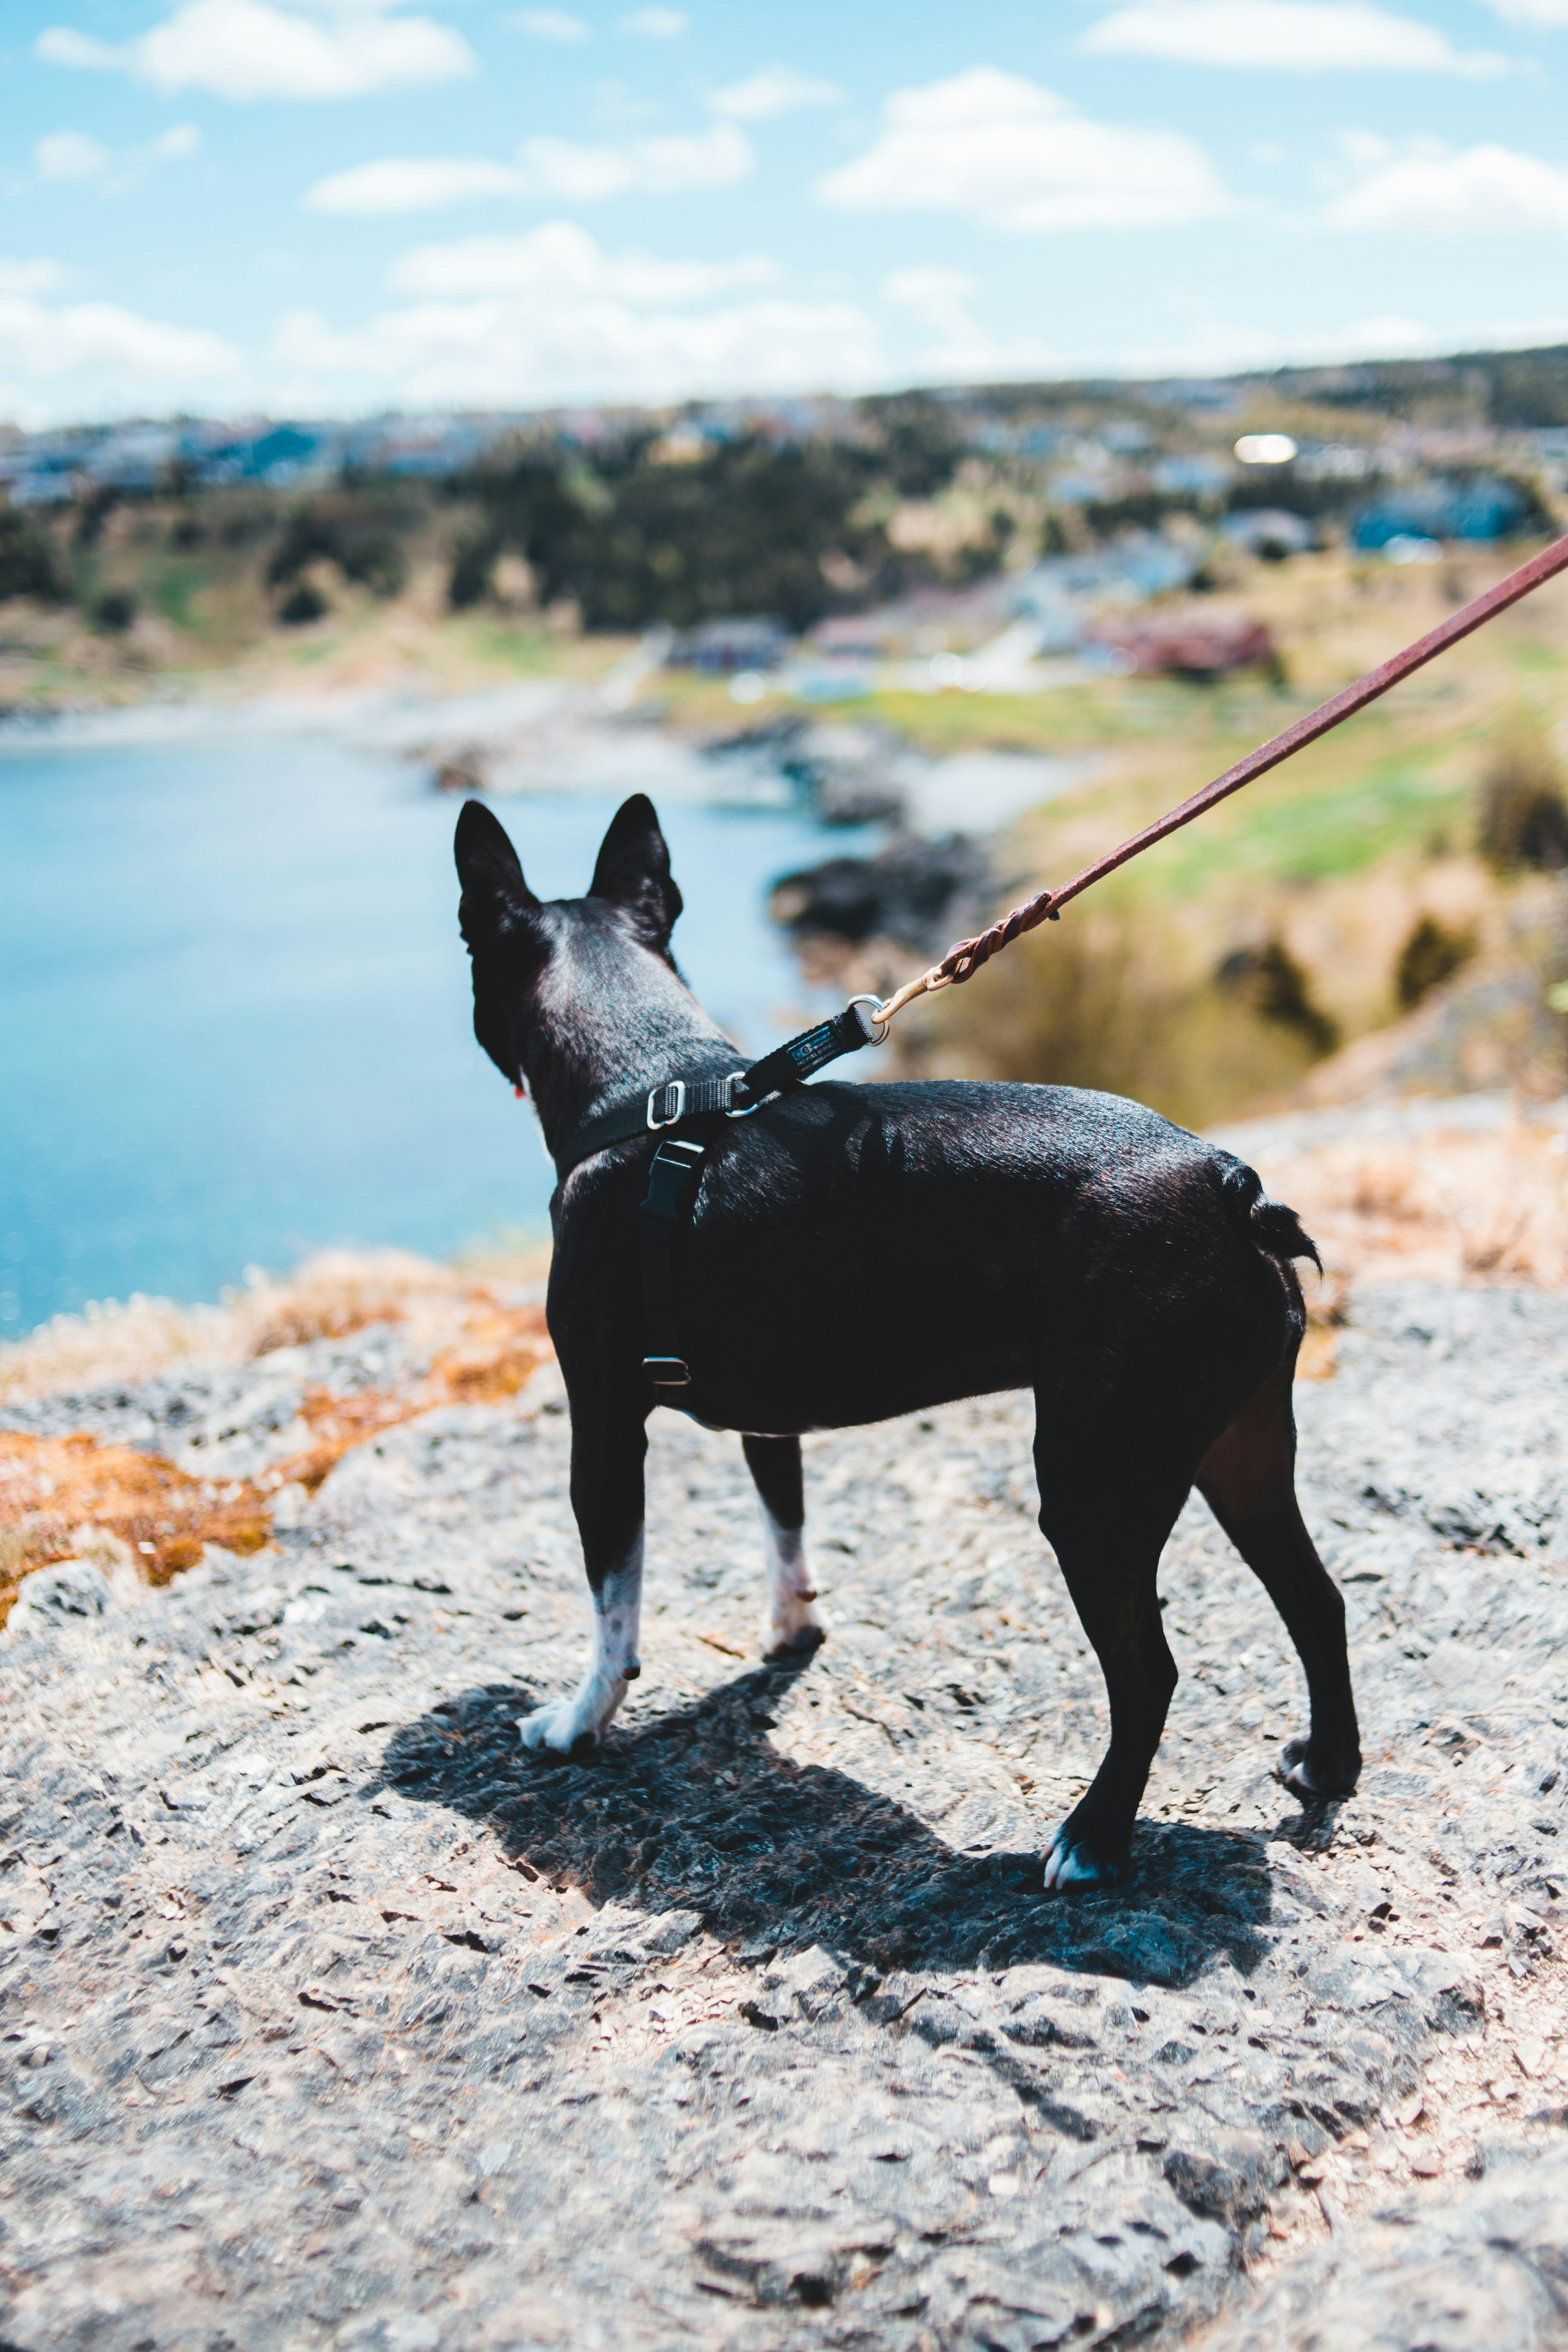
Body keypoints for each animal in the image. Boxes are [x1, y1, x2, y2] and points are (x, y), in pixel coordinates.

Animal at [453, 799, 1363, 1881]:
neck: (648, 1090)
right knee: (1316, 1600)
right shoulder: (771, 1419)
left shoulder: (600, 1428)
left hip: (1095, 1486)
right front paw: (792, 1629)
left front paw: (578, 1722)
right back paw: (1329, 1765)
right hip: (1240, 1444)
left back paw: (1092, 1837)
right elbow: (786, 1524)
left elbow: (612, 1601)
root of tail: (1228, 1184)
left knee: (1149, 1671)